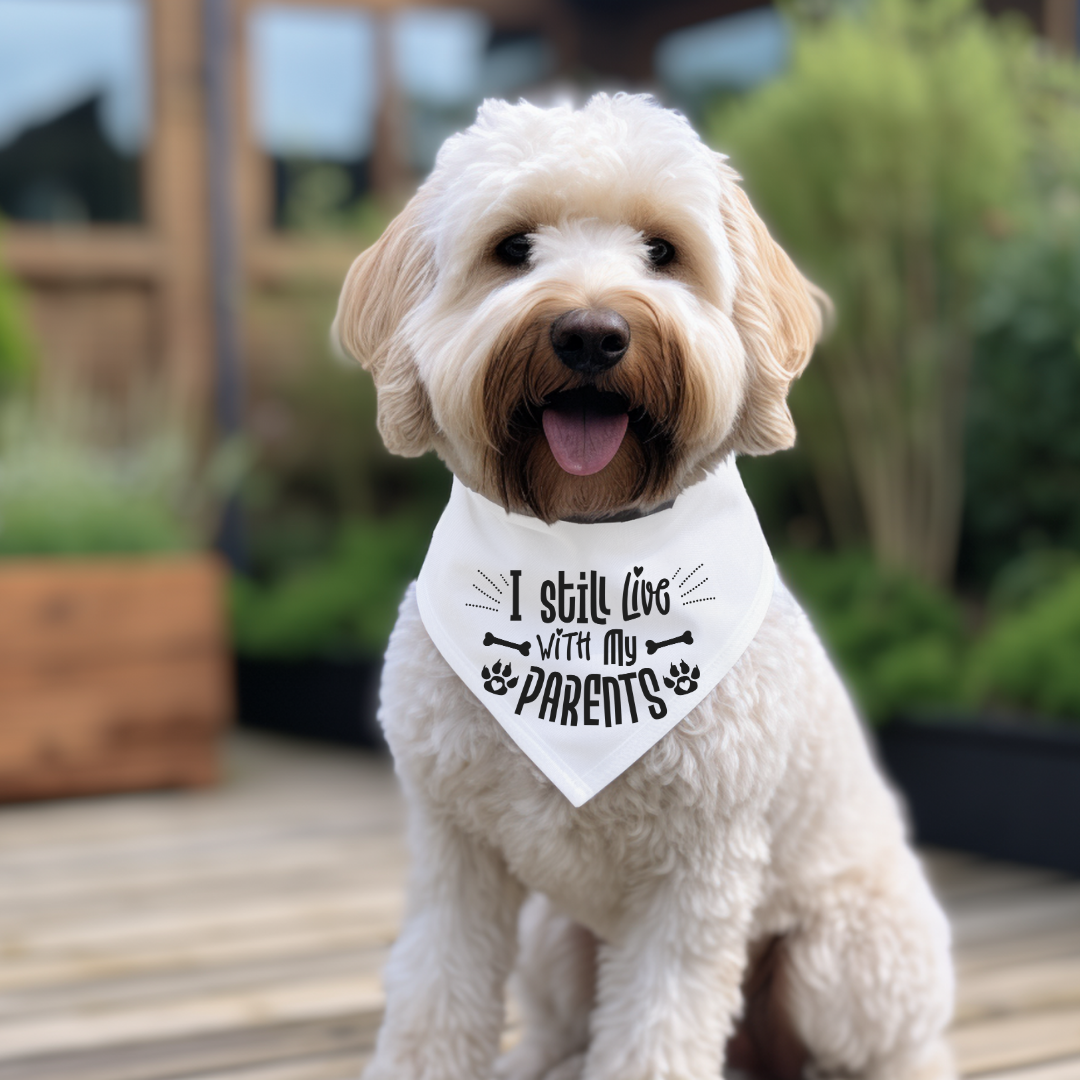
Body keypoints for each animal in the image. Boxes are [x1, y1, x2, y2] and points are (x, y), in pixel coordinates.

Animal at [330, 92, 954, 1080]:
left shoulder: (696, 877)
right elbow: (435, 999)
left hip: (844, 958)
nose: (591, 333)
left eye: (662, 251)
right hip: (556, 939)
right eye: (514, 247)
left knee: (887, 1051)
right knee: (564, 1028)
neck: (587, 550)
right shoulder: (454, 853)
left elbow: (656, 1031)